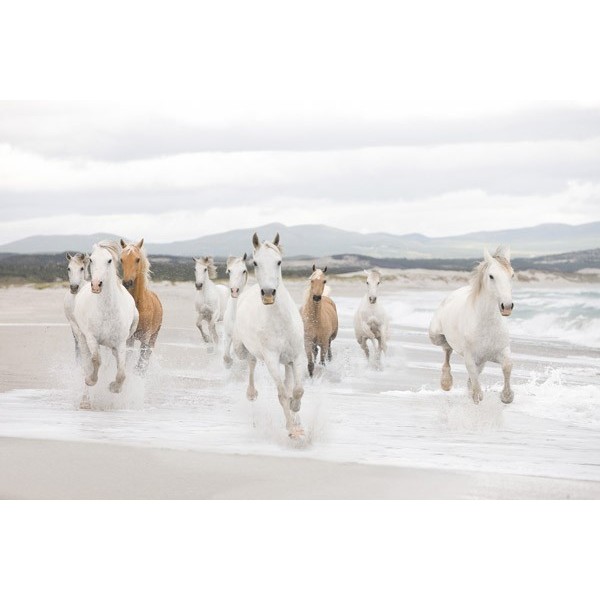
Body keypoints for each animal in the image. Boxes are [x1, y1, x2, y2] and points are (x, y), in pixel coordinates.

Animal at [73, 239, 138, 404]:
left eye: (109, 260)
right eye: (91, 260)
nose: (96, 285)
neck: (107, 310)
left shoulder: (120, 343)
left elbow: (121, 372)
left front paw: (114, 388)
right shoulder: (91, 338)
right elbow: (96, 361)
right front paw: (91, 380)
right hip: (81, 338)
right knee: (86, 364)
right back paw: (85, 400)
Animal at [119, 238, 163, 370]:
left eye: (137, 259)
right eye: (121, 259)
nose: (127, 282)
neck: (139, 305)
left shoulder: (145, 338)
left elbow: (141, 363)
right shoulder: (129, 338)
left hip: (153, 338)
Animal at [233, 232, 304, 438]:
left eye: (279, 262)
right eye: (255, 263)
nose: (268, 294)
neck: (281, 321)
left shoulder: (297, 356)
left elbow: (297, 390)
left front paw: (296, 410)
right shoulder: (272, 358)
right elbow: (282, 394)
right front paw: (292, 430)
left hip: (287, 361)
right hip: (242, 349)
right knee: (251, 361)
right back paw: (251, 393)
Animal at [426, 246, 516, 406]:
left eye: (512, 275)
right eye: (491, 276)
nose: (506, 306)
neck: (486, 324)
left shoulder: (501, 351)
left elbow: (507, 366)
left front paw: (506, 396)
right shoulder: (469, 356)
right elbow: (473, 376)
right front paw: (476, 395)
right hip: (435, 336)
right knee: (447, 349)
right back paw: (446, 382)